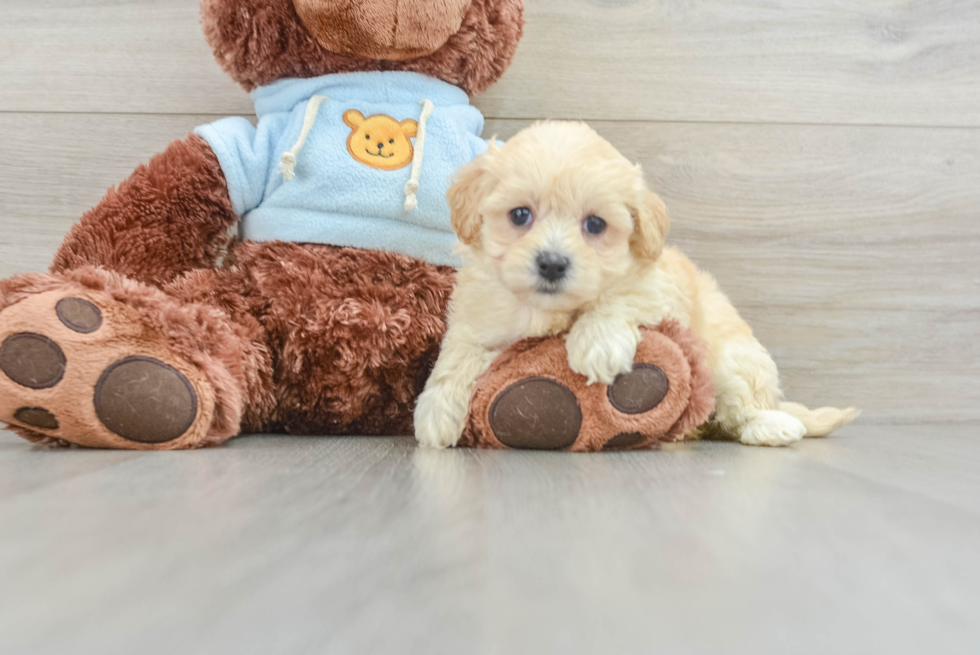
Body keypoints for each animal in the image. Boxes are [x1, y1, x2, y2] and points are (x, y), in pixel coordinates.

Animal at [414, 121, 856, 452]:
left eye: (595, 224)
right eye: (520, 215)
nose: (552, 263)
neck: (548, 308)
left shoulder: (659, 286)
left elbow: (621, 296)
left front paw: (597, 344)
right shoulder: (477, 312)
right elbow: (458, 351)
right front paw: (436, 410)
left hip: (731, 359)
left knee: (742, 403)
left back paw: (771, 425)